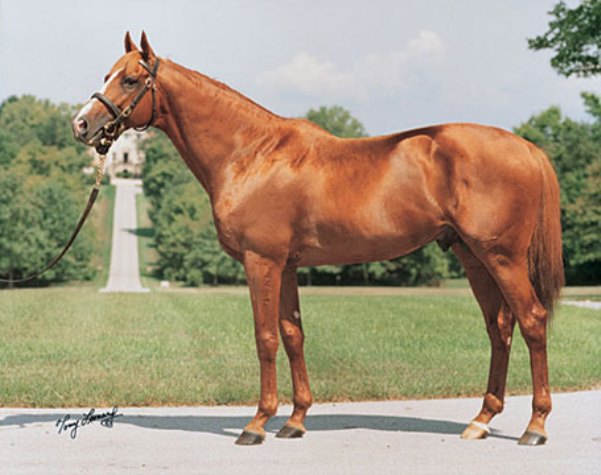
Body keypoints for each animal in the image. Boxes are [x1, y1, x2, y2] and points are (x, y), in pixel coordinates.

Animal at [73, 32, 564, 446]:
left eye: (130, 79)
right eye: (106, 75)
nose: (81, 124)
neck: (251, 153)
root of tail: (526, 147)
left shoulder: (262, 261)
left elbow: (265, 337)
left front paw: (257, 424)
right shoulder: (286, 265)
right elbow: (293, 335)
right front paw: (294, 421)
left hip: (501, 257)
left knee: (532, 320)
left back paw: (535, 427)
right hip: (473, 257)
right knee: (499, 328)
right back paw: (481, 421)